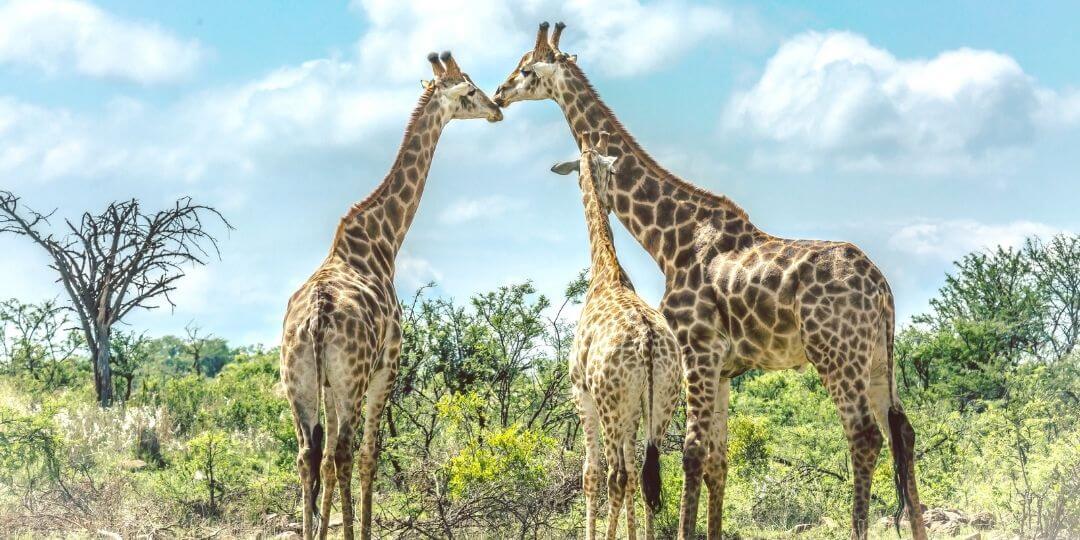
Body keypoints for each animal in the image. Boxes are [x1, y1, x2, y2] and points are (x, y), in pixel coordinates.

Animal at [280, 51, 502, 540]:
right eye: (470, 90)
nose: (498, 108)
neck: (383, 241)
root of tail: (317, 319)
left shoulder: (329, 383)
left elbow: (327, 463)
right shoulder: (388, 364)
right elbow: (369, 456)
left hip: (298, 382)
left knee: (308, 457)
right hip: (352, 378)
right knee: (345, 453)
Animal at [551, 130, 681, 540]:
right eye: (609, 173)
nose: (609, 202)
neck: (606, 272)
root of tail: (648, 342)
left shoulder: (581, 392)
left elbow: (590, 474)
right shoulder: (634, 408)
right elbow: (637, 471)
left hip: (609, 403)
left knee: (616, 475)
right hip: (661, 401)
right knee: (648, 473)